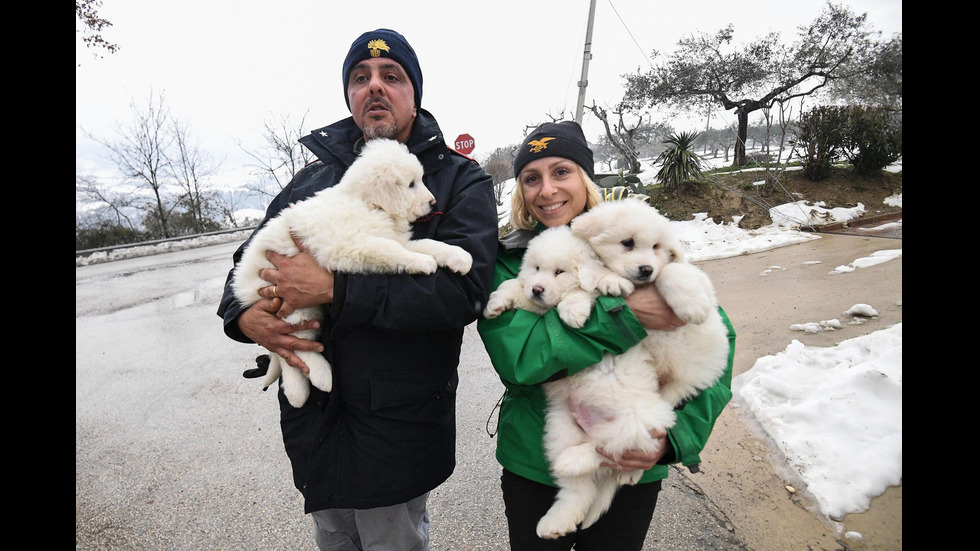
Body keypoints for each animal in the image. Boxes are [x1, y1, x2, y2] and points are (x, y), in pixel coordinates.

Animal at [232, 140, 472, 408]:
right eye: (411, 184)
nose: (432, 203)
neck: (368, 205)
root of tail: (243, 290)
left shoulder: (390, 237)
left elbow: (426, 243)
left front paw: (458, 256)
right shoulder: (350, 247)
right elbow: (391, 250)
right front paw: (422, 262)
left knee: (287, 354)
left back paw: (297, 392)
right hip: (293, 306)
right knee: (294, 346)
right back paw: (320, 378)